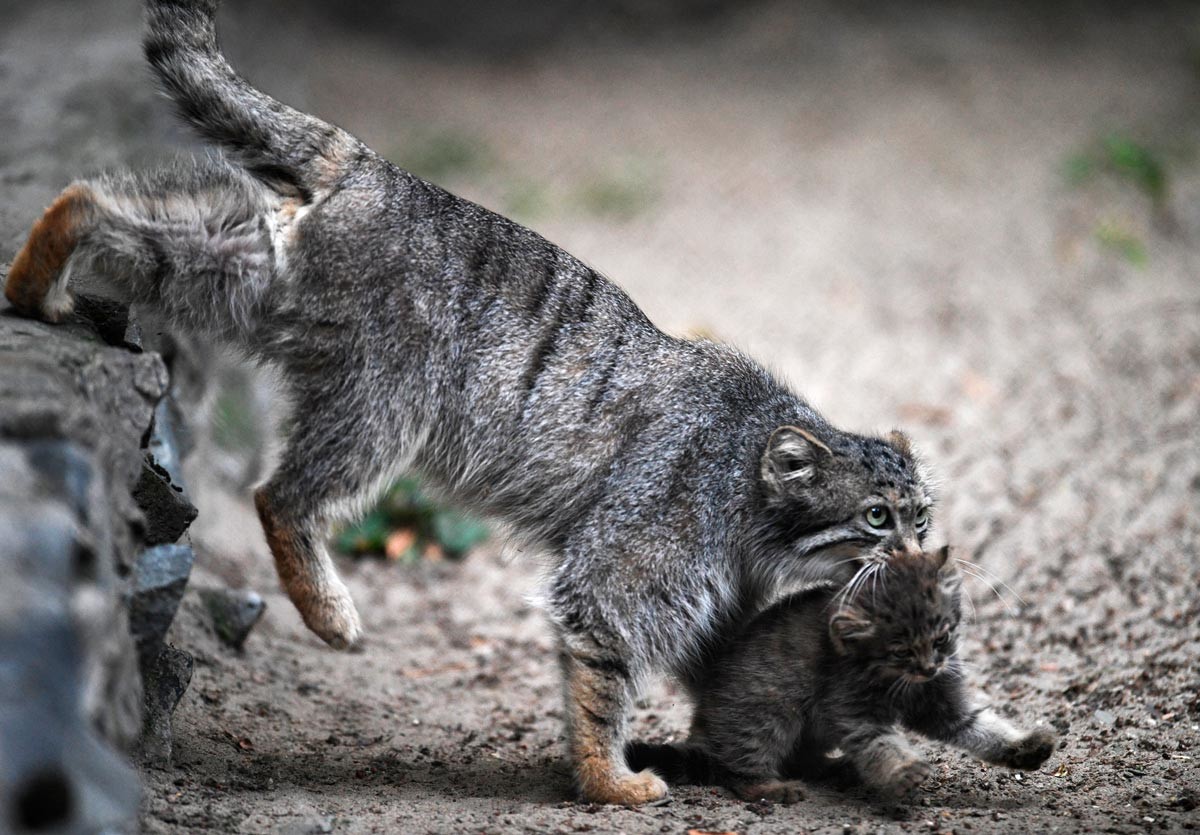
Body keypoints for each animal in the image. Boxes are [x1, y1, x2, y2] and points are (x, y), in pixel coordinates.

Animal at [2, 0, 936, 811]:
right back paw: (328, 608)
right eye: (878, 517)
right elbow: (605, 673)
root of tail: (371, 165)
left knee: (111, 208)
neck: (746, 474)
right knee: (280, 493)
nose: (923, 552)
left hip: (246, 277)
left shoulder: (718, 597)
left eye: (923, 515)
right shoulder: (629, 567)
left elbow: (734, 671)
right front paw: (607, 778)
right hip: (385, 399)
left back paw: (39, 270)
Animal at [628, 544, 1060, 806]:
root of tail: (703, 728)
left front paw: (1025, 747)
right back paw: (772, 786)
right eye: (901, 650)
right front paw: (902, 771)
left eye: (941, 638)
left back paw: (835, 769)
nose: (929, 667)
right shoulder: (851, 711)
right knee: (738, 767)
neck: (899, 681)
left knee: (799, 760)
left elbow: (983, 729)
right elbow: (879, 744)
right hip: (767, 713)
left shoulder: (944, 705)